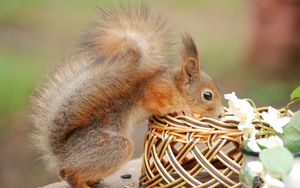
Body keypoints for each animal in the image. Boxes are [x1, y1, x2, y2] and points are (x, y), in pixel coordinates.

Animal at [31, 5, 223, 187]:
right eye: (207, 95)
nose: (220, 113)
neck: (175, 86)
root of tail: (61, 154)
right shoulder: (154, 90)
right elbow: (156, 104)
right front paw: (181, 108)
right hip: (113, 148)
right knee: (69, 174)